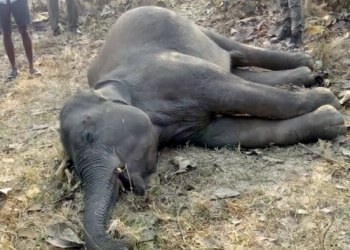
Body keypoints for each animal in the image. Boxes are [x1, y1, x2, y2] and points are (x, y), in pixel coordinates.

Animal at [60, 5, 348, 250]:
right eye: (71, 165)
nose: (126, 238)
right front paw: (330, 118)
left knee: (237, 54)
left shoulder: (177, 72)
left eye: (88, 134)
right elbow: (225, 133)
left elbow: (239, 95)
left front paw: (330, 104)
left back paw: (307, 65)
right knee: (238, 67)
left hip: (190, 26)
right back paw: (305, 75)